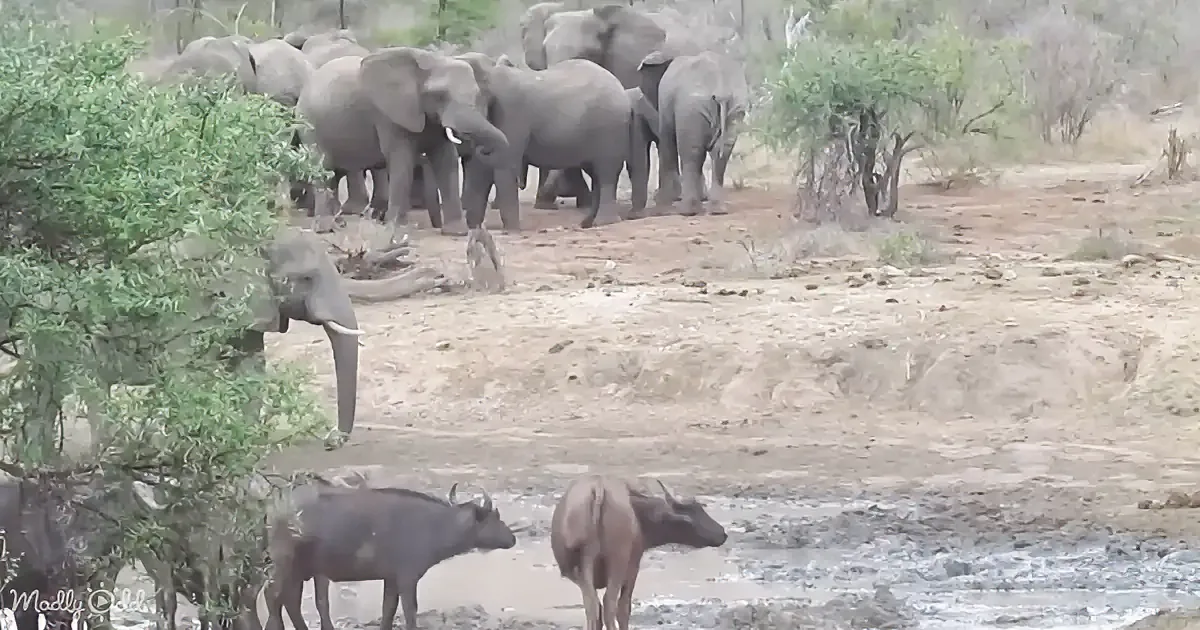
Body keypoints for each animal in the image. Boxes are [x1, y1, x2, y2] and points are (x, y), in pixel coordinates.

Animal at [294, 47, 509, 238]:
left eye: (477, 95)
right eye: (439, 96)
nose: (482, 148)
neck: (431, 61)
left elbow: (446, 161)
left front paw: (456, 232)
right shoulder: (389, 115)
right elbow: (402, 160)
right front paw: (396, 228)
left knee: (333, 173)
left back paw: (338, 224)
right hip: (309, 125)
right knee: (321, 168)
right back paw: (325, 228)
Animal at [458, 54, 632, 231]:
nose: (481, 148)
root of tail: (620, 86)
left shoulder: (510, 111)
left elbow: (505, 165)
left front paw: (513, 230)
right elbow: (479, 170)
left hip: (610, 127)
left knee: (606, 171)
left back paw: (604, 222)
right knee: (594, 171)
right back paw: (587, 224)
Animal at [637, 50, 748, 216]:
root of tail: (721, 89)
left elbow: (667, 140)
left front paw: (663, 202)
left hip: (691, 108)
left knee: (691, 153)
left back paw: (688, 211)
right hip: (735, 107)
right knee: (720, 154)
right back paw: (717, 210)